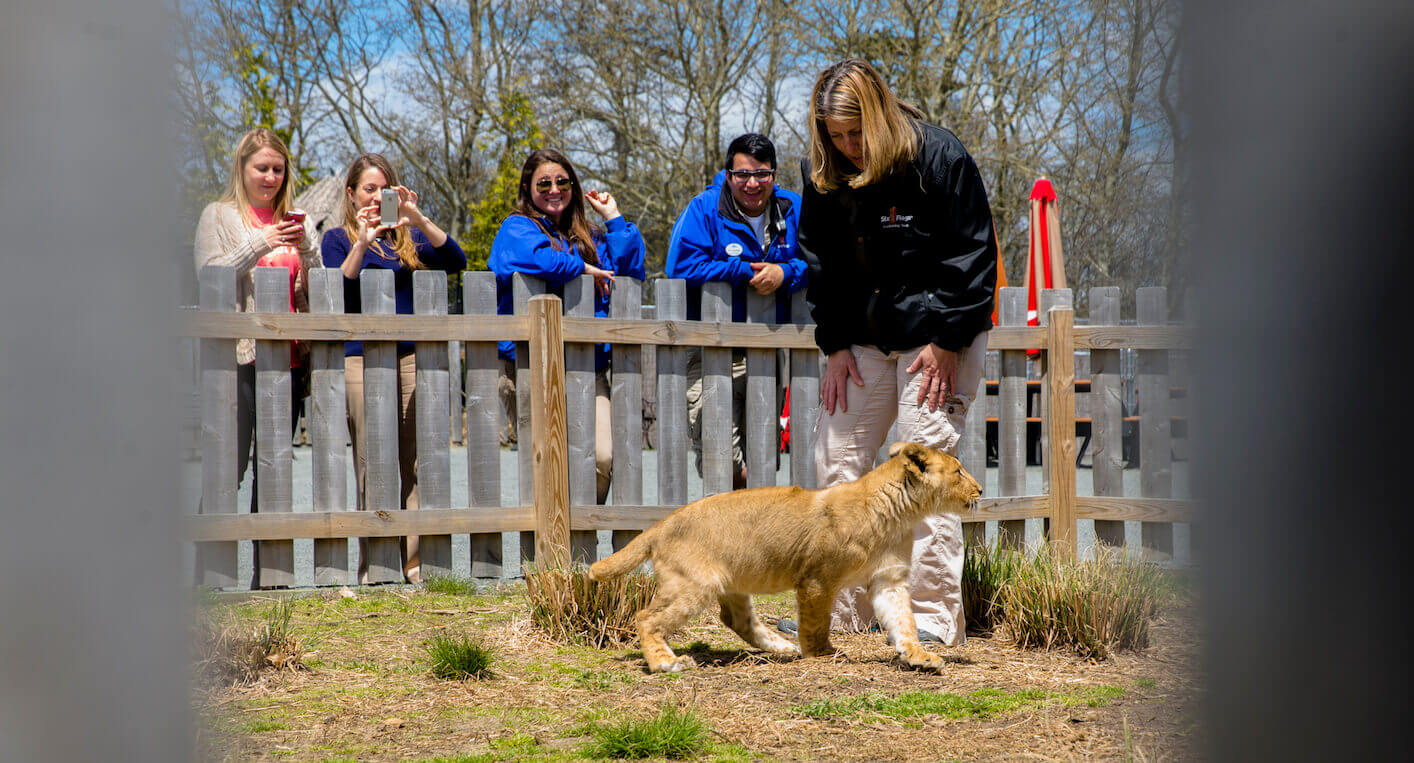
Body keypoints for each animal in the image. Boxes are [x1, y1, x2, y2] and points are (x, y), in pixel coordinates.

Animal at [588, 440, 984, 672]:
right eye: (958, 471)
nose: (980, 489)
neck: (900, 516)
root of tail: (661, 524)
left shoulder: (888, 579)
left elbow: (904, 622)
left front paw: (918, 656)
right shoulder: (817, 578)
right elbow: (817, 621)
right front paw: (821, 653)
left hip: (732, 580)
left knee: (737, 619)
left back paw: (781, 646)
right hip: (694, 585)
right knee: (646, 617)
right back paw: (666, 663)